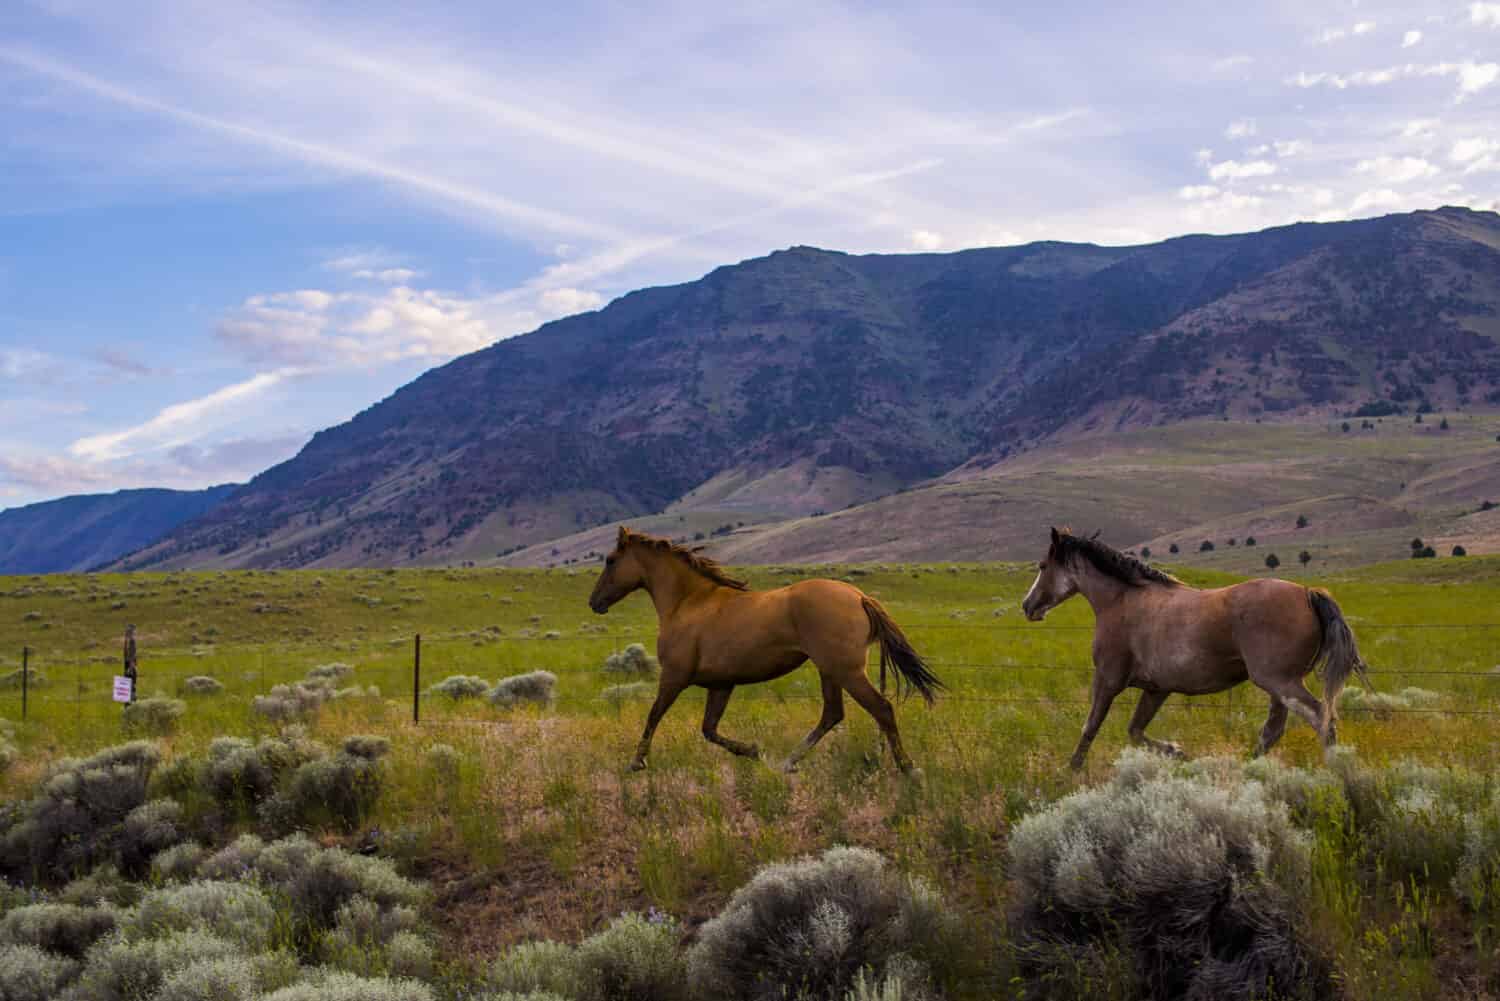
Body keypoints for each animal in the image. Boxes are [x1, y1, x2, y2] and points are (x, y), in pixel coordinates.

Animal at [582, 528, 936, 780]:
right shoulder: (720, 685)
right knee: (833, 714)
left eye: (610, 560)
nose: (594, 602)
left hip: (846, 670)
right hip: (830, 670)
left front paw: (636, 763)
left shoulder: (674, 677)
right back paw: (787, 763)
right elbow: (709, 730)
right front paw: (754, 751)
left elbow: (654, 715)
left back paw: (909, 769)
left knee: (881, 709)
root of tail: (860, 595)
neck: (688, 602)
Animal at [1020, 528, 1374, 774]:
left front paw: (1071, 770)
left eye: (1042, 565)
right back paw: (1246, 770)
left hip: (1280, 682)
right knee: (1273, 731)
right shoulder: (1157, 689)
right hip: (1279, 686)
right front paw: (1178, 752)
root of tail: (1308, 593)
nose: (1028, 606)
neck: (1122, 601)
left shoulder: (1107, 680)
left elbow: (1091, 726)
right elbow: (1135, 731)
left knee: (1321, 718)